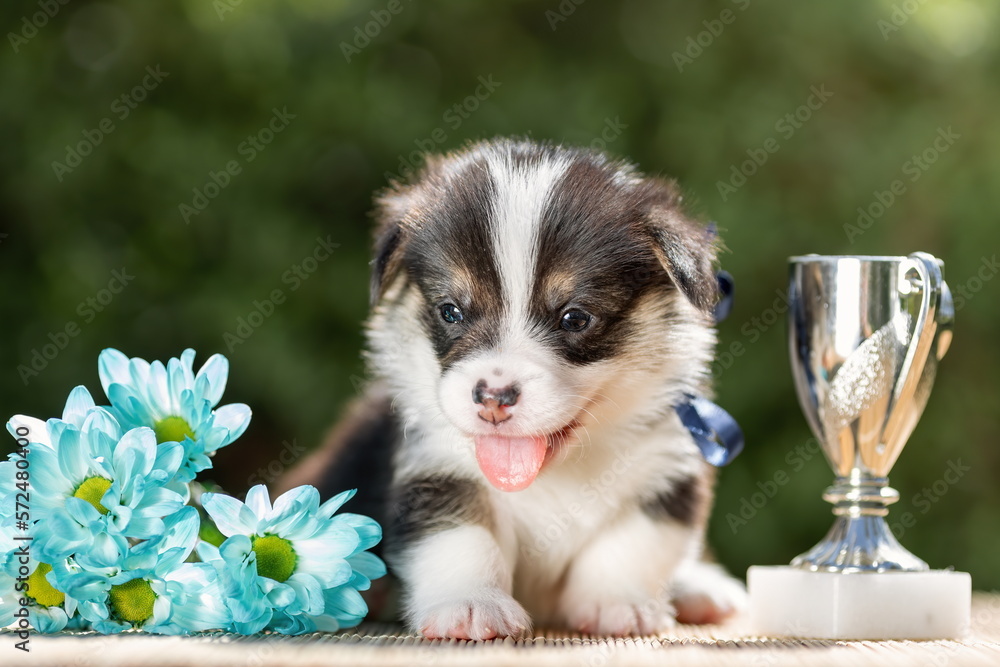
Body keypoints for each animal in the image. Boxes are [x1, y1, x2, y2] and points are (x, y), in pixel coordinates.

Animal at [278, 138, 748, 640]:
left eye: (575, 318)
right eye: (451, 311)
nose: (493, 399)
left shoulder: (667, 471)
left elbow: (631, 543)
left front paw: (618, 604)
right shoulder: (439, 469)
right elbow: (462, 538)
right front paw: (470, 605)